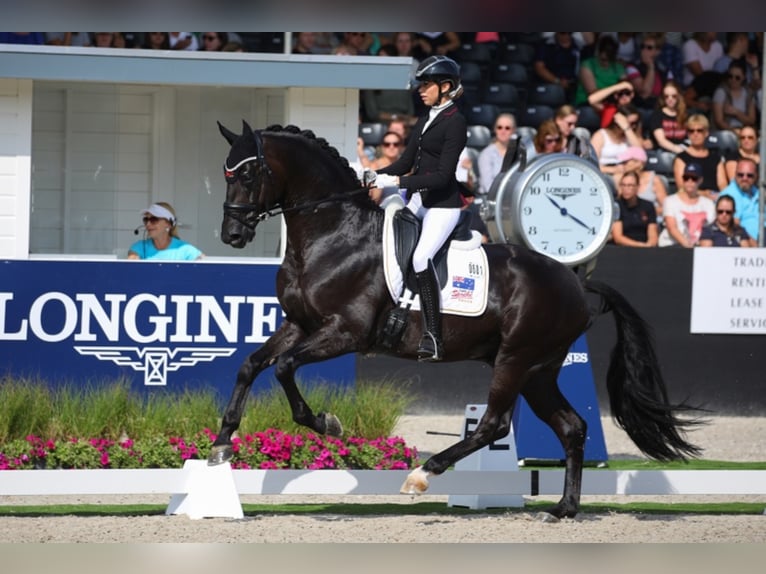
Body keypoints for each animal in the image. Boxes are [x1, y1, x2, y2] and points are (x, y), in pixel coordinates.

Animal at [208, 121, 704, 520]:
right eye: (226, 172)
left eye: (248, 173)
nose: (232, 235)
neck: (333, 235)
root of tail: (574, 281)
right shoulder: (299, 324)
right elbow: (252, 365)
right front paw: (221, 444)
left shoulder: (344, 332)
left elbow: (285, 368)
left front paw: (327, 423)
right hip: (538, 371)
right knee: (571, 427)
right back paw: (564, 508)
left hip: (515, 360)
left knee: (494, 425)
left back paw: (422, 475)